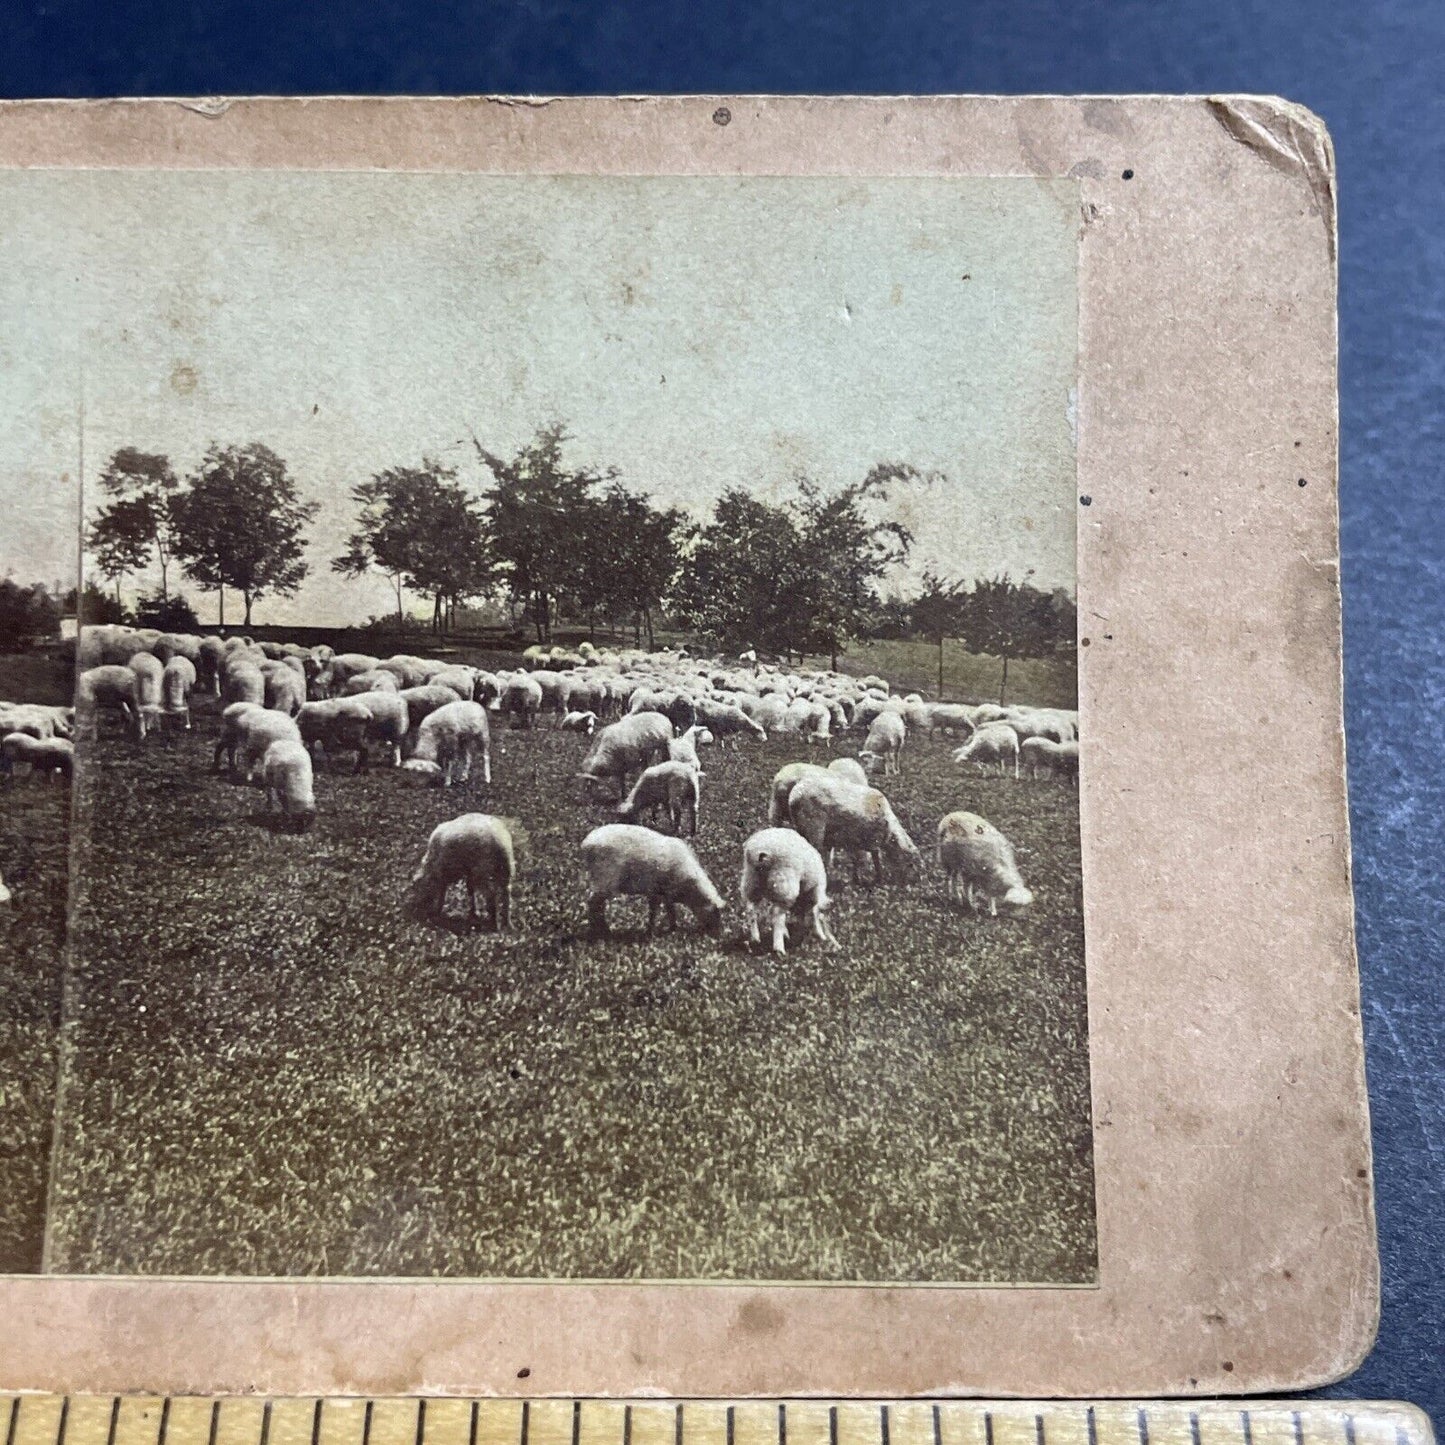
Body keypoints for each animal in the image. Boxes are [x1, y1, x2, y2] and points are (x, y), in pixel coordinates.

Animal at [580, 826, 728, 936]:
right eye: (716, 913)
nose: (718, 936)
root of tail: (586, 843)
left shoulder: (664, 894)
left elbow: (669, 911)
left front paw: (672, 929)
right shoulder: (657, 890)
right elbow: (655, 911)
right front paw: (651, 933)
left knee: (595, 904)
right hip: (604, 879)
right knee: (593, 903)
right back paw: (603, 932)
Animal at [739, 826, 843, 959]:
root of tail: (761, 851)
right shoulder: (813, 893)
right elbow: (813, 913)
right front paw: (819, 934)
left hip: (752, 881)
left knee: (751, 909)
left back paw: (755, 938)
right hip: (785, 883)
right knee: (777, 914)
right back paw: (779, 948)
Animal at [786, 774, 919, 884]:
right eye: (910, 864)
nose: (913, 881)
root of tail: (795, 795)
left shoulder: (853, 840)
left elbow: (855, 860)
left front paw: (856, 879)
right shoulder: (869, 840)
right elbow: (873, 860)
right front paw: (878, 880)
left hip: (801, 826)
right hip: (813, 827)